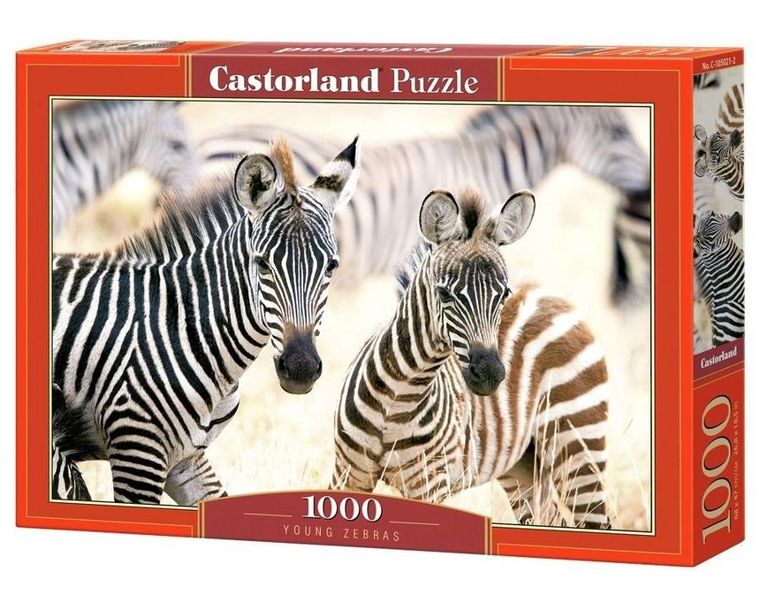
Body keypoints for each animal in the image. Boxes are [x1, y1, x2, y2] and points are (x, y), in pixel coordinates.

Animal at [332, 188, 610, 529]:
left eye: (503, 295)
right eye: (445, 294)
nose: (490, 373)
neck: (397, 400)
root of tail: (553, 298)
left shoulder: (430, 485)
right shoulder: (346, 475)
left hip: (579, 446)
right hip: (524, 467)